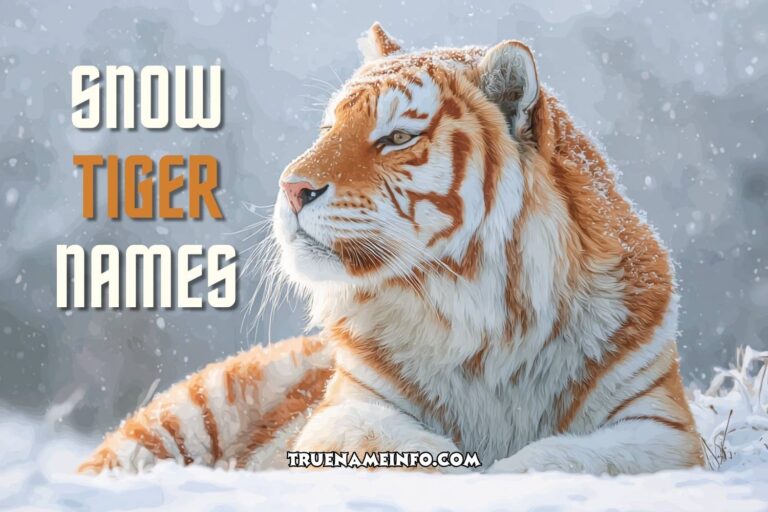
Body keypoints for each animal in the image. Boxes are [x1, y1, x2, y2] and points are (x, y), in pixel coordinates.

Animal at [79, 23, 704, 476]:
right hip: (184, 414)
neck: (486, 321)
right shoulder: (344, 412)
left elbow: (571, 457)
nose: (290, 187)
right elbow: (401, 449)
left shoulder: (659, 425)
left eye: (398, 137)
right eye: (329, 127)